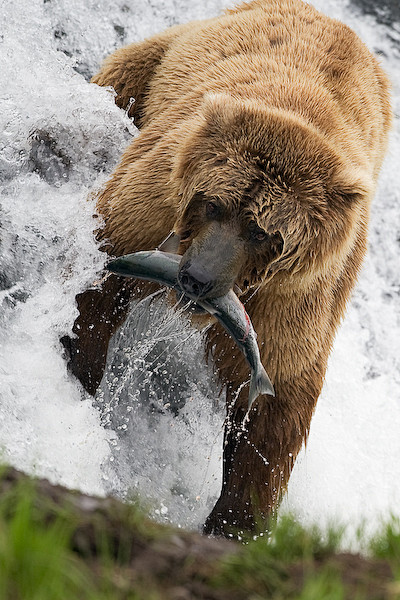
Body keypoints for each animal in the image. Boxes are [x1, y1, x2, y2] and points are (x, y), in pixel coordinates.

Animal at [64, 0, 392, 536]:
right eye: (214, 204)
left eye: (262, 232)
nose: (196, 279)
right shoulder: (157, 200)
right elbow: (103, 275)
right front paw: (82, 371)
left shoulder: (295, 294)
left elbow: (276, 402)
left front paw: (235, 520)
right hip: (156, 65)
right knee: (121, 80)